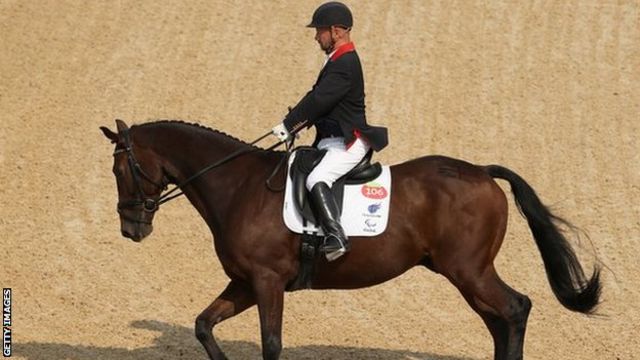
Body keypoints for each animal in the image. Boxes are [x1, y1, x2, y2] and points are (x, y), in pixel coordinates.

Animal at [99, 119, 600, 358]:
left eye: (121, 169)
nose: (131, 228)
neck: (237, 185)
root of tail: (481, 171)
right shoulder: (244, 281)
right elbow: (204, 325)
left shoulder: (266, 281)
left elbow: (271, 343)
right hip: (464, 273)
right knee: (500, 320)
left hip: (469, 270)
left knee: (515, 309)